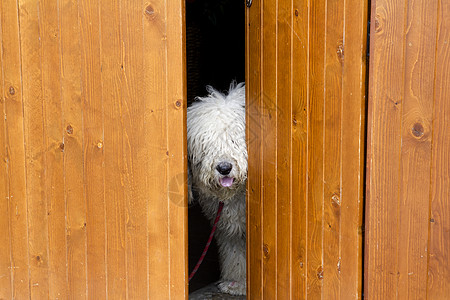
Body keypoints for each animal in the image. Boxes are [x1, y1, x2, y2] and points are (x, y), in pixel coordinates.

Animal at [188, 82, 248, 296]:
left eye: (234, 140)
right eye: (207, 144)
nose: (224, 168)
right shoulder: (231, 227)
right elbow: (235, 254)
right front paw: (237, 283)